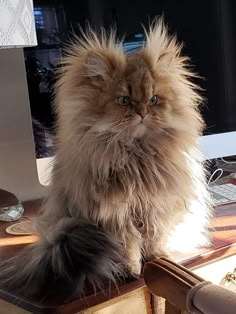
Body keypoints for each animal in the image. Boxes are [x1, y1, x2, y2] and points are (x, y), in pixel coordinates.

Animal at [0, 20, 212, 302]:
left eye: (153, 100)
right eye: (124, 100)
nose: (142, 112)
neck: (136, 156)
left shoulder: (156, 207)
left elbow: (154, 237)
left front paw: (158, 259)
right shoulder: (115, 216)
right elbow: (129, 245)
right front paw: (133, 270)